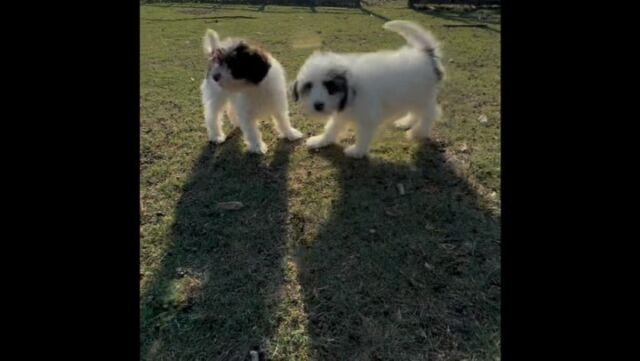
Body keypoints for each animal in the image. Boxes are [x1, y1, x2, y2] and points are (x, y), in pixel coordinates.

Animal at [292, 20, 444, 158]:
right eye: (309, 86)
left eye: (330, 86)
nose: (317, 105)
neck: (351, 89)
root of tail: (425, 53)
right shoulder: (342, 112)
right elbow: (332, 127)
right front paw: (321, 141)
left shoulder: (367, 118)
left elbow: (363, 135)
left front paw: (357, 151)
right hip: (413, 95)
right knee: (416, 111)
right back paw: (405, 122)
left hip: (423, 96)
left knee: (430, 113)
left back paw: (418, 132)